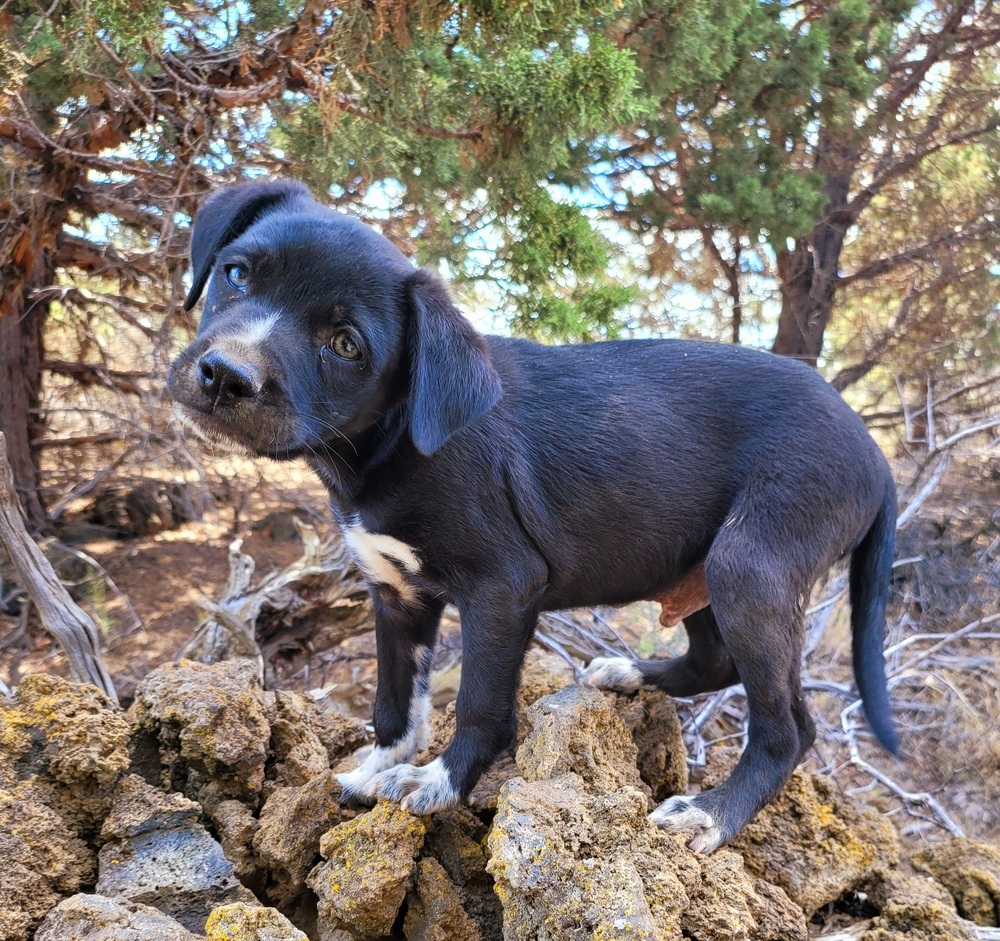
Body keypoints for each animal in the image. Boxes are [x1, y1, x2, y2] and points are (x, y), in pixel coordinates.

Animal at [166, 178, 900, 852]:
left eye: (346, 345)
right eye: (236, 273)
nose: (225, 376)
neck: (393, 438)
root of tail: (875, 451)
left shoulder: (503, 586)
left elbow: (480, 702)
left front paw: (441, 781)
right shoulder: (397, 592)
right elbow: (395, 701)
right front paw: (378, 767)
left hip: (750, 563)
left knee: (790, 728)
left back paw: (712, 813)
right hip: (701, 564)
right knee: (714, 660)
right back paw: (630, 675)